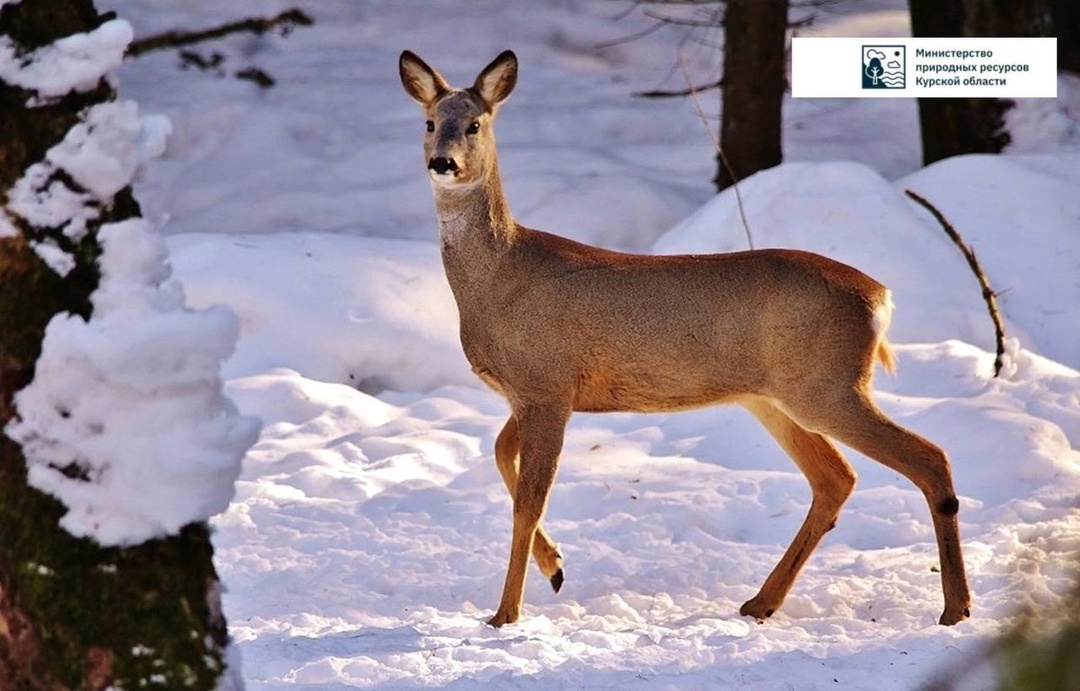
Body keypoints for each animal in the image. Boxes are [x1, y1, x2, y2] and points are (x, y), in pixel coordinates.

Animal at [401, 51, 976, 630]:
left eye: (475, 124)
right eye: (429, 123)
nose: (443, 162)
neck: (499, 278)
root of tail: (880, 296)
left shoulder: (547, 386)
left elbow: (528, 502)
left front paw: (506, 614)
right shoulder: (533, 393)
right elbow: (501, 455)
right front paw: (555, 567)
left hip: (827, 386)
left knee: (929, 457)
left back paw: (955, 607)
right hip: (774, 397)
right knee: (836, 478)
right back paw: (761, 602)